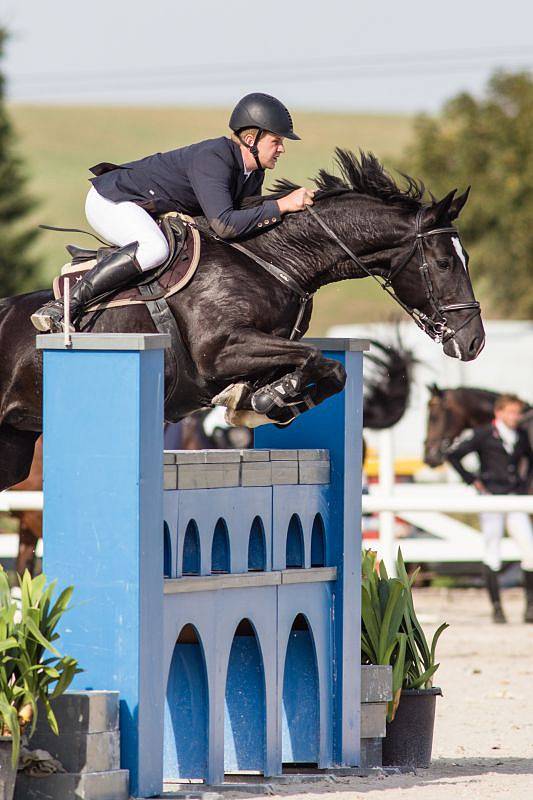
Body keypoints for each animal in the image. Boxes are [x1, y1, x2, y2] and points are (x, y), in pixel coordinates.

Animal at [0, 147, 484, 490]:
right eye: (444, 263)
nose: (473, 342)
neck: (276, 260)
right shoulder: (221, 351)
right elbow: (314, 359)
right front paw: (273, 397)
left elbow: (330, 370)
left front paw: (269, 400)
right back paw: (50, 317)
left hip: (14, 446)